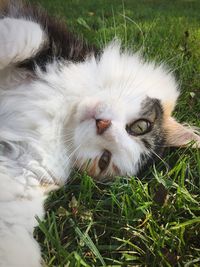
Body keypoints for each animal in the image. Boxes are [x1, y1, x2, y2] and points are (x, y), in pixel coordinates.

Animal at [0, 0, 199, 267]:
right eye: (140, 126)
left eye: (104, 160)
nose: (102, 124)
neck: (63, 113)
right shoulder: (56, 42)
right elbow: (27, 35)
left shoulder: (26, 169)